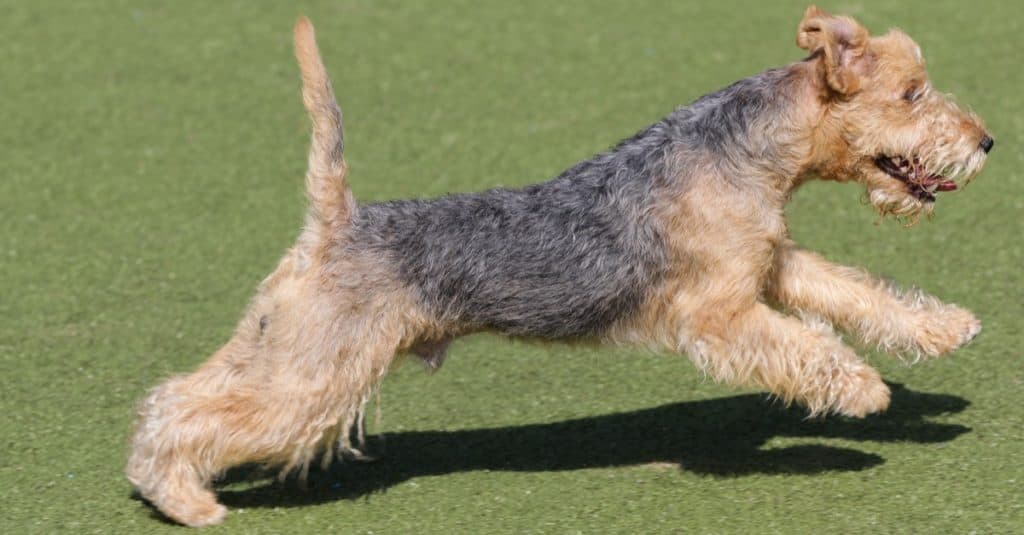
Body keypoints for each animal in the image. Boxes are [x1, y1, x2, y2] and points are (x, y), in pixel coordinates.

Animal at [125, 7, 991, 524]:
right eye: (913, 94)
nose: (985, 141)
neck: (748, 152)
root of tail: (337, 219)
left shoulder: (772, 264)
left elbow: (859, 293)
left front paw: (944, 328)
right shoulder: (717, 312)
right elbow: (806, 345)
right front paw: (862, 389)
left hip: (283, 344)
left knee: (173, 394)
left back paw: (167, 485)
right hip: (316, 375)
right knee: (193, 413)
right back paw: (185, 499)